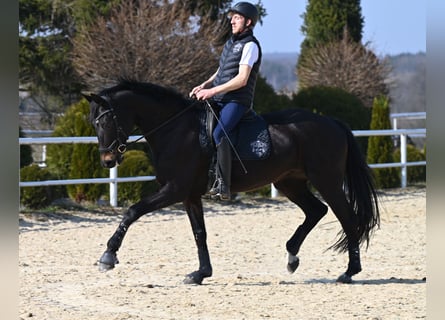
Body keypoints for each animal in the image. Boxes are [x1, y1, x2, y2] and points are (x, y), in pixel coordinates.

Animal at [85, 80, 380, 284]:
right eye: (94, 123)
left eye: (106, 120)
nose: (108, 160)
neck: (176, 129)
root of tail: (332, 122)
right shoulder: (189, 195)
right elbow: (199, 233)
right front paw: (201, 273)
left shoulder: (173, 190)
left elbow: (133, 211)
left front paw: (108, 256)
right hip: (290, 183)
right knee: (316, 210)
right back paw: (292, 256)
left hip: (327, 181)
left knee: (347, 218)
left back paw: (349, 271)